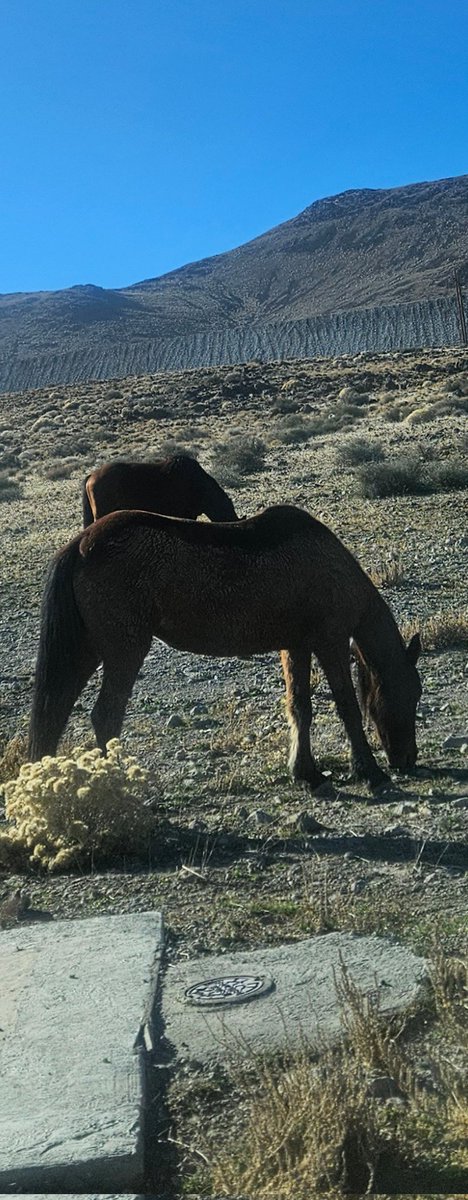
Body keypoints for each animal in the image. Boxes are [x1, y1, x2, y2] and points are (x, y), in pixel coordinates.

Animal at [28, 505, 422, 790]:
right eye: (413, 693)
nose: (408, 759)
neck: (328, 566)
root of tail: (81, 544)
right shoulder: (330, 643)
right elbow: (348, 709)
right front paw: (369, 771)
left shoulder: (296, 647)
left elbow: (300, 708)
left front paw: (306, 772)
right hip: (124, 652)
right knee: (105, 717)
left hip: (85, 652)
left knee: (53, 714)